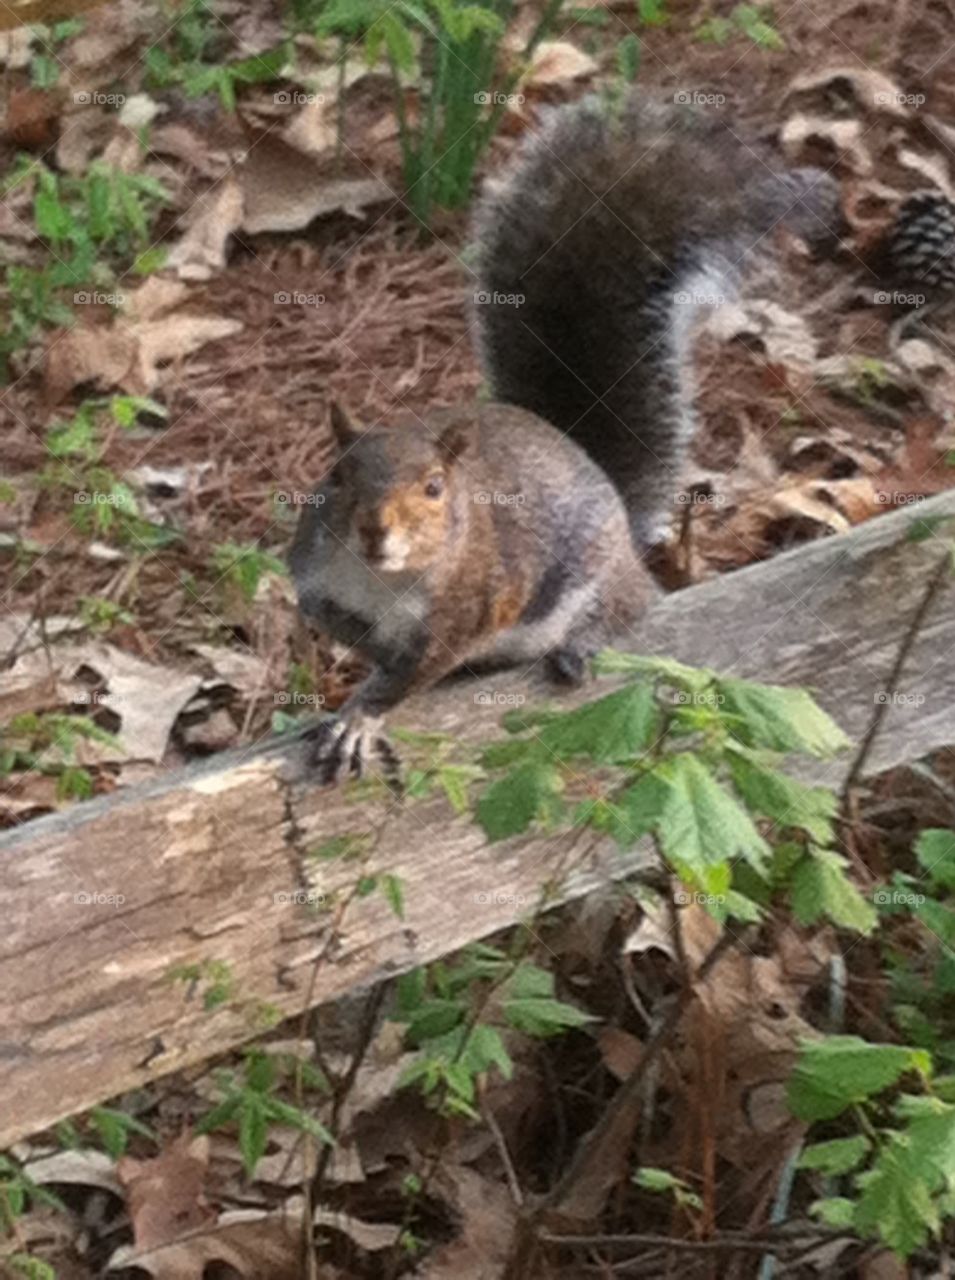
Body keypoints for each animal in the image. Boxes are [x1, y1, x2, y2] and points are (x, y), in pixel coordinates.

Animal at [286, 92, 834, 778]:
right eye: (337, 476)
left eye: (435, 488)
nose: (375, 531)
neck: (380, 577)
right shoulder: (315, 576)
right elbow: (345, 628)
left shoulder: (470, 607)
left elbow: (410, 673)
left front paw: (361, 717)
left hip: (597, 577)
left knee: (633, 605)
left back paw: (584, 644)